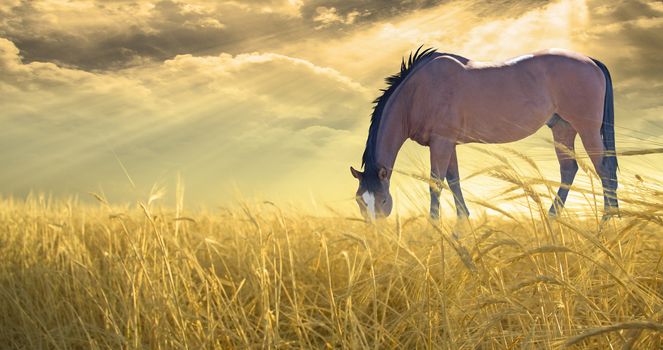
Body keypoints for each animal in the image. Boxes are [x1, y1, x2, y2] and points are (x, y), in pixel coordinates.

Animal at [352, 47, 616, 221]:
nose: (376, 238)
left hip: (587, 128)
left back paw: (607, 222)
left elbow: (436, 184)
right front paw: (462, 224)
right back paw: (552, 217)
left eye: (383, 200)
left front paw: (435, 228)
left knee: (604, 169)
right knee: (569, 169)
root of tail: (591, 61)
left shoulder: (441, 142)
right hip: (562, 128)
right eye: (359, 200)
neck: (418, 92)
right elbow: (454, 181)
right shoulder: (448, 144)